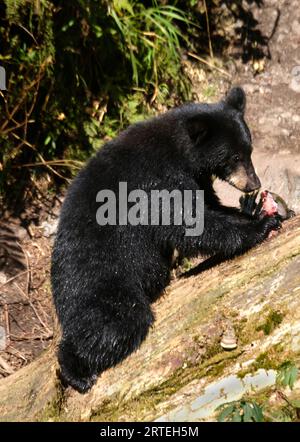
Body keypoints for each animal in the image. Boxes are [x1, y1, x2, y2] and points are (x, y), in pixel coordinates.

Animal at [51, 88, 282, 392]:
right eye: (233, 157)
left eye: (249, 151)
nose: (254, 184)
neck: (179, 150)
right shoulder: (157, 181)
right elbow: (190, 223)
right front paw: (262, 225)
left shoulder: (196, 177)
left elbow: (210, 204)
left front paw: (258, 208)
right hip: (103, 281)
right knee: (117, 324)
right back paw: (76, 372)